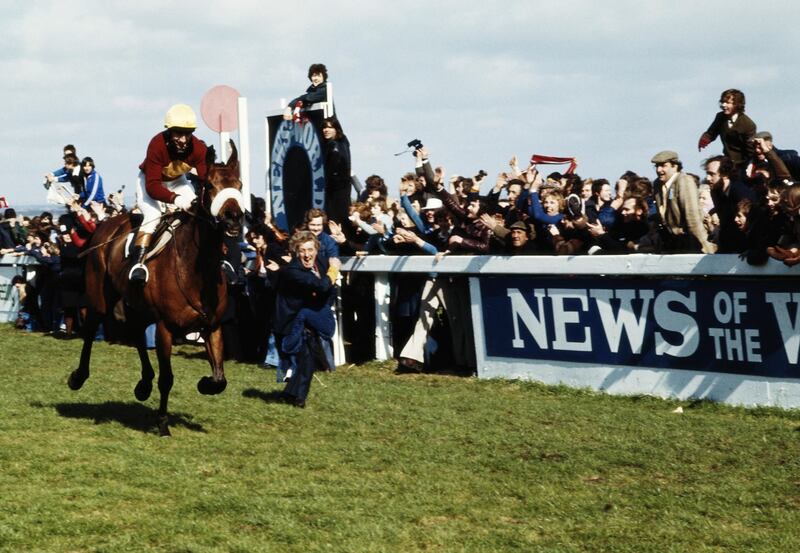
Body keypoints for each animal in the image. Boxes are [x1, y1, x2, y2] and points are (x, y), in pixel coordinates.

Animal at [67, 140, 245, 434]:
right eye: (209, 185)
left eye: (239, 184)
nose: (233, 218)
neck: (195, 270)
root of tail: (105, 227)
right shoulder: (166, 327)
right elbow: (168, 378)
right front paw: (162, 422)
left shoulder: (212, 326)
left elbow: (220, 379)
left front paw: (204, 384)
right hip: (100, 296)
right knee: (92, 330)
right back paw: (78, 377)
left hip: (137, 304)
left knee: (136, 332)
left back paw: (143, 384)